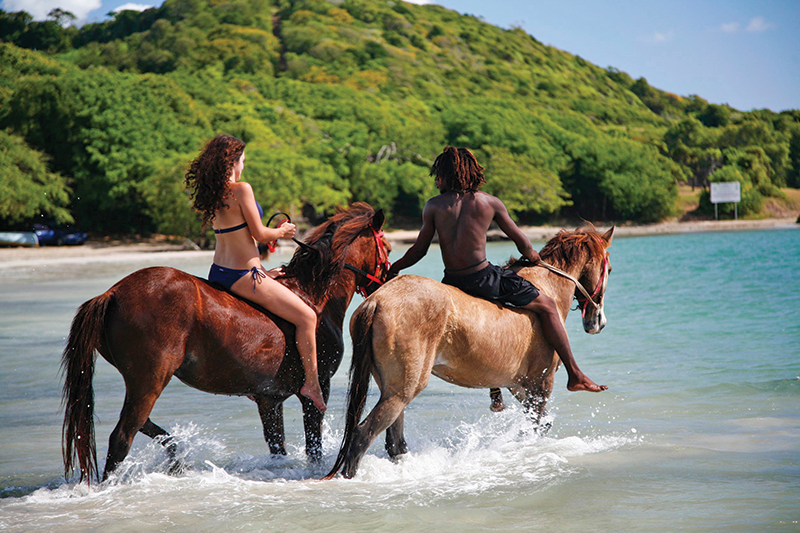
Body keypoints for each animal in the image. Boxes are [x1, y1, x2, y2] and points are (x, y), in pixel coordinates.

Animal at [61, 201, 392, 482]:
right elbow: (314, 448)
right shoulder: (315, 391)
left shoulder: (269, 400)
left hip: (142, 382)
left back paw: (177, 460)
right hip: (150, 380)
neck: (314, 296)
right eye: (387, 246)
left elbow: (278, 448)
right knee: (122, 436)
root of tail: (112, 293)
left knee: (143, 425)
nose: (390, 278)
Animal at [324, 224, 612, 478]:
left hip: (393, 389)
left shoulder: (518, 385)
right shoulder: (540, 383)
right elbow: (538, 427)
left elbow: (537, 425)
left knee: (394, 442)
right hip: (403, 390)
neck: (547, 286)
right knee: (361, 436)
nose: (598, 322)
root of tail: (376, 302)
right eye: (608, 268)